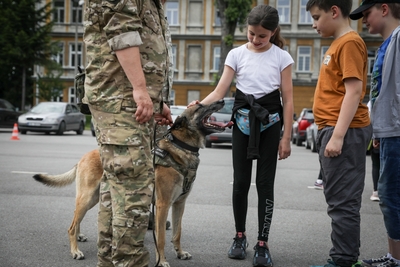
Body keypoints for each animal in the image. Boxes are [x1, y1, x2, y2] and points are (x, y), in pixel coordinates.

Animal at [32, 99, 233, 266]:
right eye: (200, 107)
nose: (223, 100)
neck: (181, 148)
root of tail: (83, 157)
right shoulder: (162, 205)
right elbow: (161, 238)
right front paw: (162, 261)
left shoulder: (179, 204)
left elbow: (177, 232)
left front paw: (180, 252)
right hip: (87, 197)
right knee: (71, 226)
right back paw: (75, 250)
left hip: (95, 198)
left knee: (76, 219)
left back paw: (80, 238)